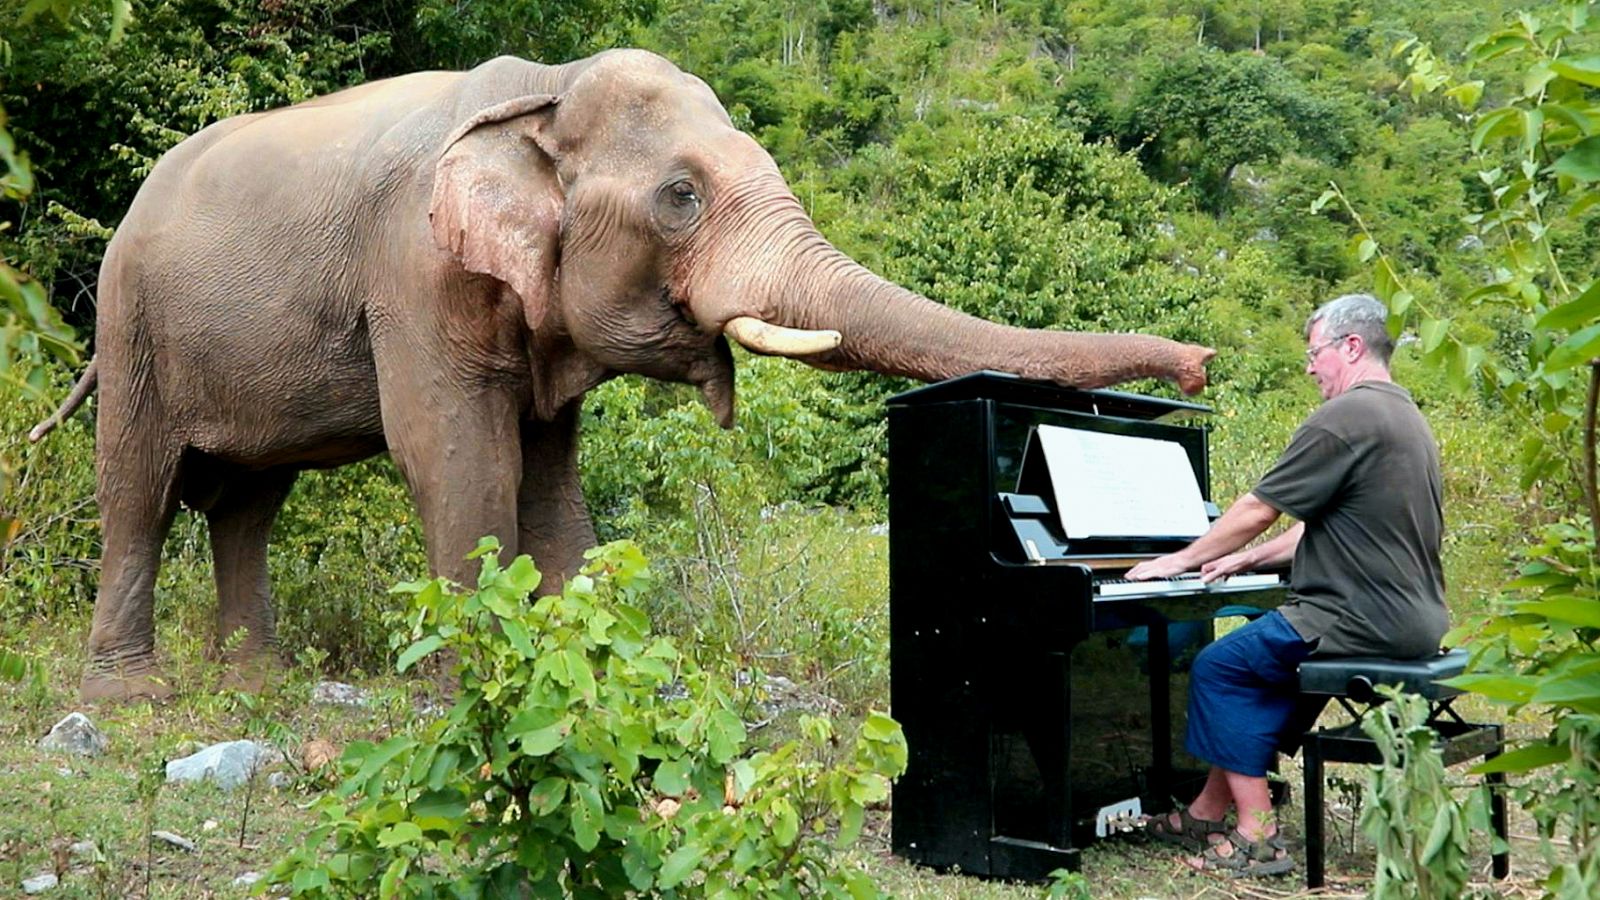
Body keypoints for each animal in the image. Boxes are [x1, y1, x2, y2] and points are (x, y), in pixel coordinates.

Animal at [28, 47, 1209, 701]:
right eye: (681, 197)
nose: (1199, 368)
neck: (543, 97)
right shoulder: (414, 269)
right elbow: (458, 457)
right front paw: (473, 691)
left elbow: (550, 477)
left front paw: (583, 671)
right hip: (133, 324)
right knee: (138, 486)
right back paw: (132, 700)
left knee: (248, 503)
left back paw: (255, 681)